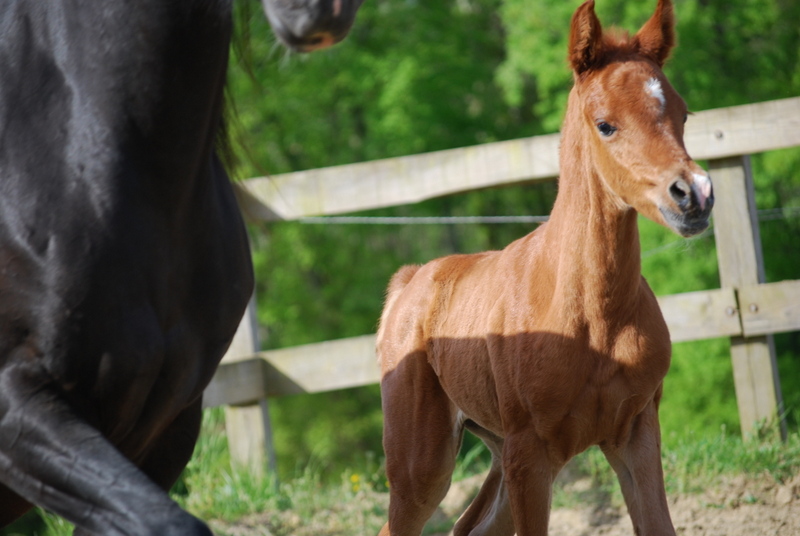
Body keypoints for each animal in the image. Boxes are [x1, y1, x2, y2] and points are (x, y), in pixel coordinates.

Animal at [378, 1, 716, 536]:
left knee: (468, 526)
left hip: (496, 450)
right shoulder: (531, 456)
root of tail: (409, 282)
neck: (594, 318)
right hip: (423, 466)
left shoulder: (637, 434)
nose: (694, 195)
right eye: (605, 124)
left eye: (683, 113)